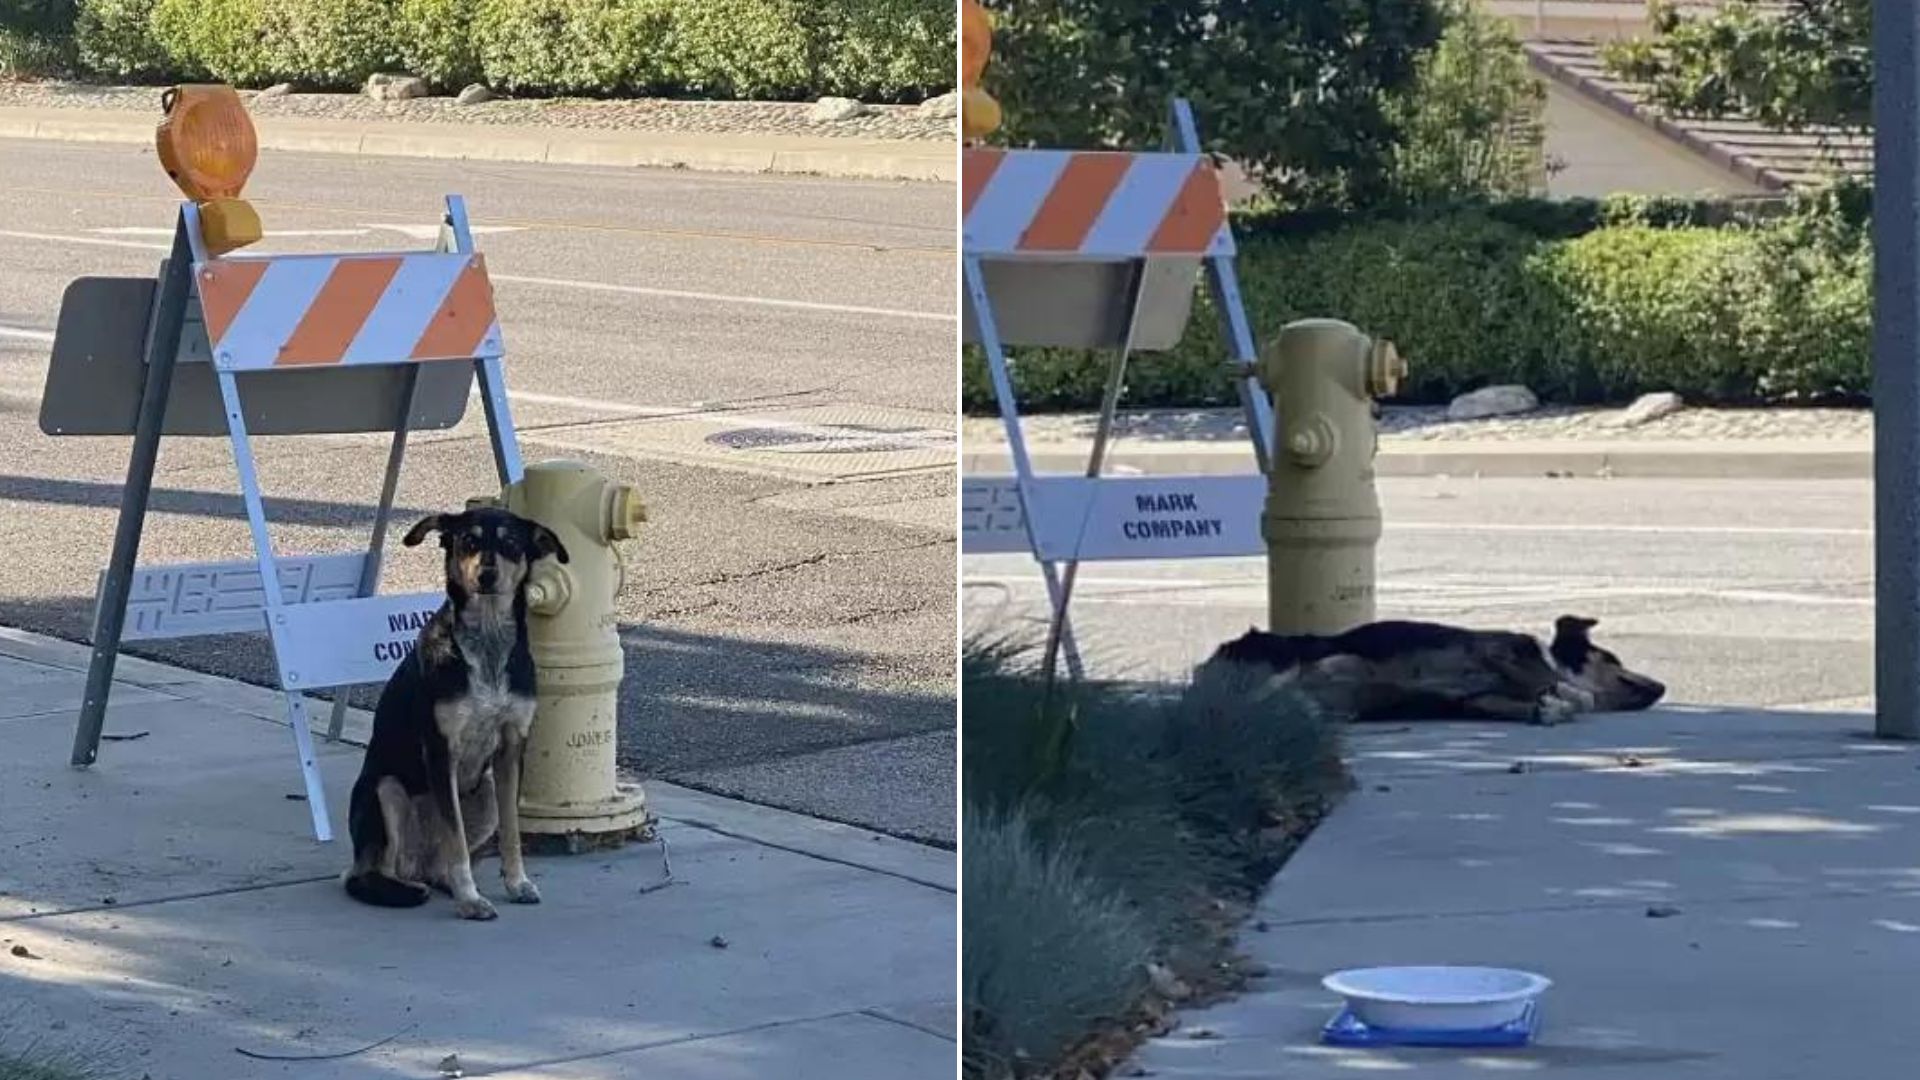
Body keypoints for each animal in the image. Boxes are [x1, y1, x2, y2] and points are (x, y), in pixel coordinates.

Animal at [345, 507, 568, 914]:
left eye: (512, 544)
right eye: (468, 541)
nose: (486, 574)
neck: (488, 643)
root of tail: (418, 865)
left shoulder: (512, 749)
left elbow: (511, 830)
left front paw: (517, 883)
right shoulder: (440, 749)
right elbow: (457, 839)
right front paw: (469, 899)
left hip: (486, 791)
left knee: (439, 863)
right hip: (386, 790)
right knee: (368, 874)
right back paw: (409, 890)